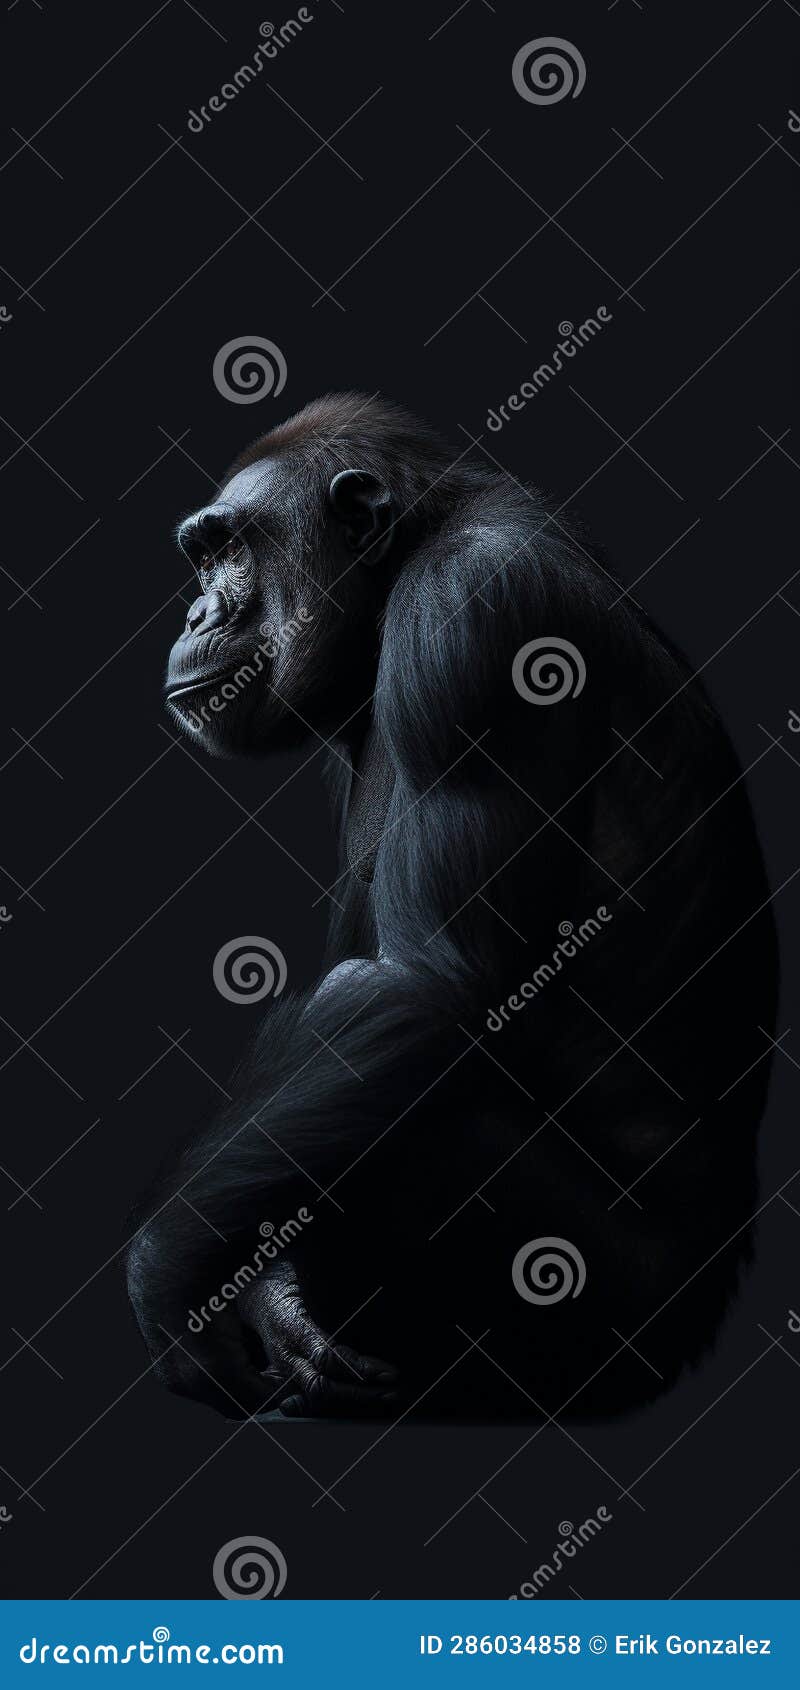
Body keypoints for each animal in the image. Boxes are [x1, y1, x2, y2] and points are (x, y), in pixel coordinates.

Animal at [125, 392, 778, 1421]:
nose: (195, 608)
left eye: (230, 551)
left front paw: (173, 1278)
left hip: (613, 1306)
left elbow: (421, 985)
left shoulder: (472, 627)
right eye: (201, 556)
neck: (398, 575)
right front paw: (267, 1302)